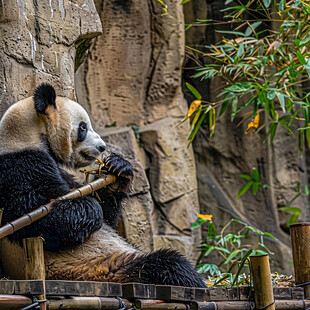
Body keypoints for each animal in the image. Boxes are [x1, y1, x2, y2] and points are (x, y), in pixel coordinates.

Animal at [0, 83, 206, 288]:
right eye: (83, 127)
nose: (102, 147)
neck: (26, 135)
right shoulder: (21, 166)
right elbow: (34, 219)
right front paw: (89, 208)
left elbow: (106, 214)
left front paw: (118, 169)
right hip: (97, 268)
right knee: (168, 266)